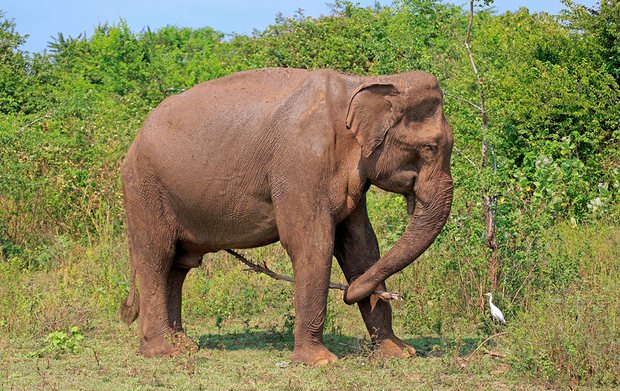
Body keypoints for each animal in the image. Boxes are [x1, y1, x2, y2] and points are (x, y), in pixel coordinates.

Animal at [117, 67, 456, 368]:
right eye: (428, 149)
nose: (347, 293)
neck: (361, 83)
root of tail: (133, 142)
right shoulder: (301, 165)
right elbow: (313, 243)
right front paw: (320, 361)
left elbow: (361, 246)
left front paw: (399, 352)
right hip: (145, 190)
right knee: (157, 257)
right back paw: (163, 352)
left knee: (179, 265)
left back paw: (185, 345)